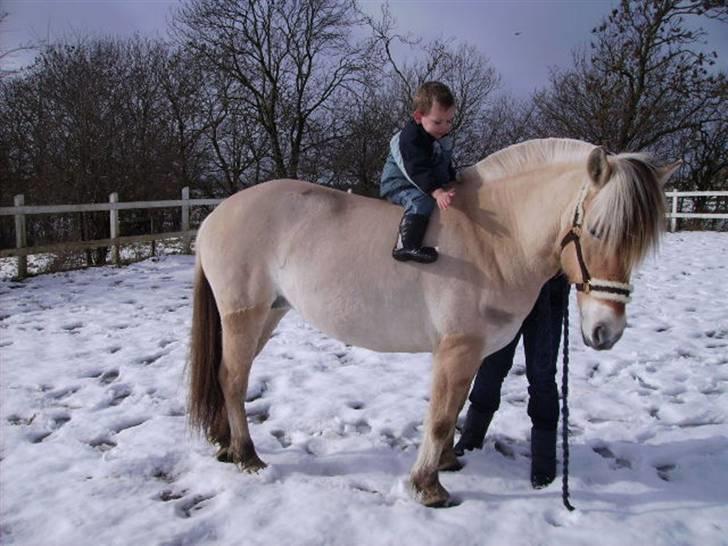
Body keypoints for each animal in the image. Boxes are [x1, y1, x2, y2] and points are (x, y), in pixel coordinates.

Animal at [186, 137, 676, 506]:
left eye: (640, 243)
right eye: (596, 231)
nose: (606, 331)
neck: (495, 240)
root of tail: (215, 216)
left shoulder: (472, 353)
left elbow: (455, 409)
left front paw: (445, 464)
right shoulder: (458, 348)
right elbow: (440, 417)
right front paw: (428, 487)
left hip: (268, 316)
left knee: (226, 376)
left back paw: (227, 445)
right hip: (245, 317)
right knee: (232, 379)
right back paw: (247, 454)